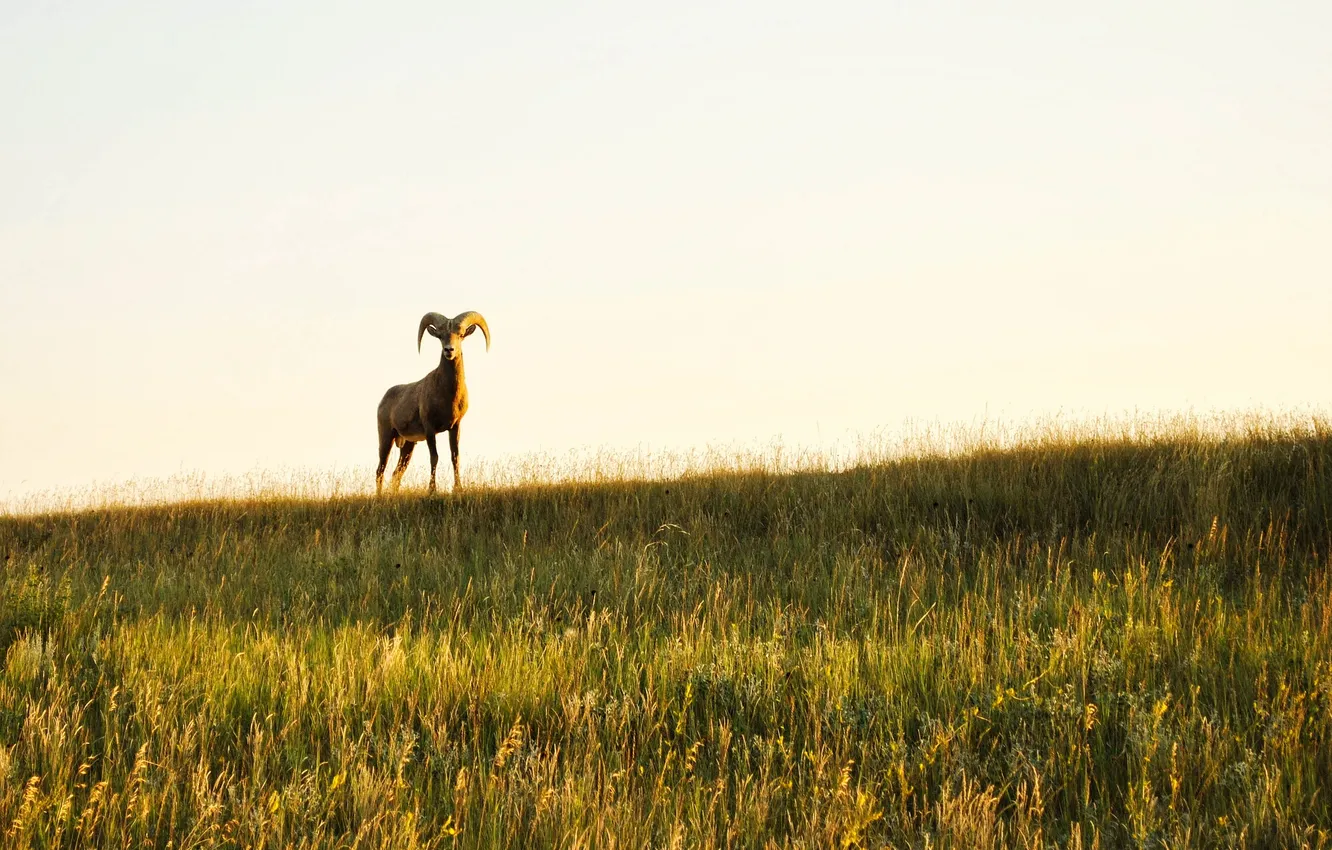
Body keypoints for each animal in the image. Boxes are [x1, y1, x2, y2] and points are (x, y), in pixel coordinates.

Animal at [376, 311, 491, 495]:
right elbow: (434, 457)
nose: (449, 350)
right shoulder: (430, 429)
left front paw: (458, 489)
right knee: (380, 469)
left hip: (408, 446)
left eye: (460, 335)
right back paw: (379, 496)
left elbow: (455, 456)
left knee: (396, 474)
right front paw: (432, 490)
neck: (447, 396)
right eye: (441, 336)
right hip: (386, 437)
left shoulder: (455, 427)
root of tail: (383, 400)